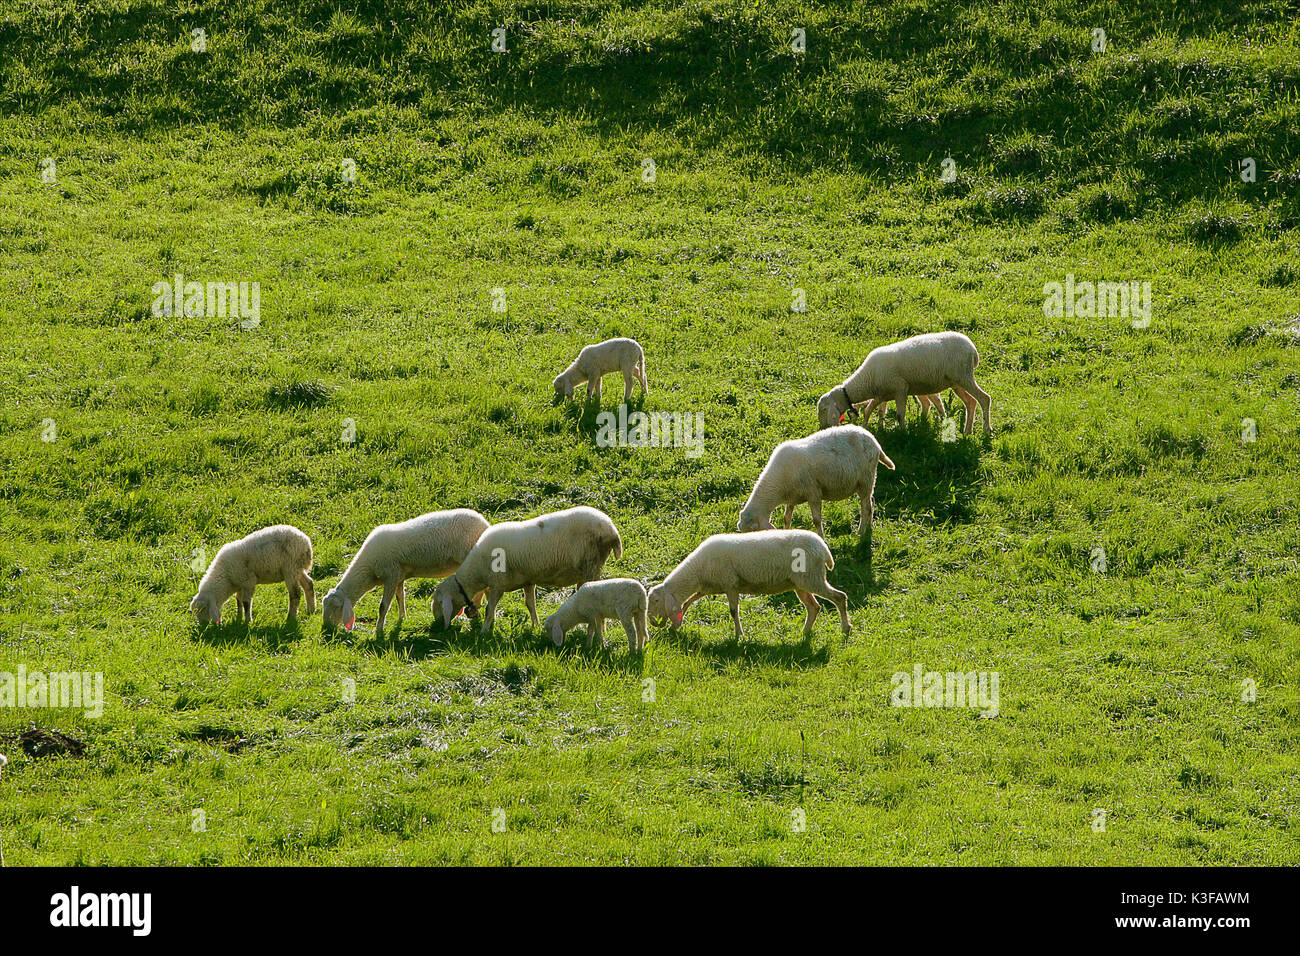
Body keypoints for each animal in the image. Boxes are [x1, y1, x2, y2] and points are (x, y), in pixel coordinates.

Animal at [321, 509, 490, 633]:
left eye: (336, 607)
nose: (326, 629)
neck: (368, 570)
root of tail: (485, 524)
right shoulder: (398, 575)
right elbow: (400, 597)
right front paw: (402, 617)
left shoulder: (391, 575)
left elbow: (383, 606)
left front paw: (378, 629)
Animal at [431, 506, 622, 635]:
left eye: (439, 602)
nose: (436, 625)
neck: (477, 573)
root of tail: (612, 529)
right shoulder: (528, 581)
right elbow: (530, 604)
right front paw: (535, 626)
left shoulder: (497, 585)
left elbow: (490, 608)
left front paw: (484, 631)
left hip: (591, 565)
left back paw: (599, 629)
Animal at [647, 530, 850, 640]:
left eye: (655, 600)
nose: (652, 622)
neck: (698, 571)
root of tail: (823, 548)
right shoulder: (710, 586)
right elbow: (688, 602)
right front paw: (676, 626)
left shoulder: (730, 584)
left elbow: (733, 611)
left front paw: (739, 635)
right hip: (801, 583)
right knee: (814, 607)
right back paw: (805, 631)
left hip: (812, 578)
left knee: (840, 597)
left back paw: (846, 628)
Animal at [738, 425, 896, 538]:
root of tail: (874, 441)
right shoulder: (792, 497)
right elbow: (786, 518)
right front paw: (786, 531)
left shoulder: (813, 493)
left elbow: (816, 520)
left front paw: (822, 538)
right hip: (867, 482)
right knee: (871, 502)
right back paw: (868, 527)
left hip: (866, 479)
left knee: (866, 507)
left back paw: (861, 532)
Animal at [817, 331, 991, 434]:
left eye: (824, 410)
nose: (823, 428)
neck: (867, 378)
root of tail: (973, 349)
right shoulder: (883, 394)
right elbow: (878, 411)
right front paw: (879, 427)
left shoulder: (900, 389)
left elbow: (900, 415)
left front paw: (903, 432)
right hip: (957, 382)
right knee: (971, 402)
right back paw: (967, 431)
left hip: (964, 376)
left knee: (984, 399)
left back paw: (986, 429)